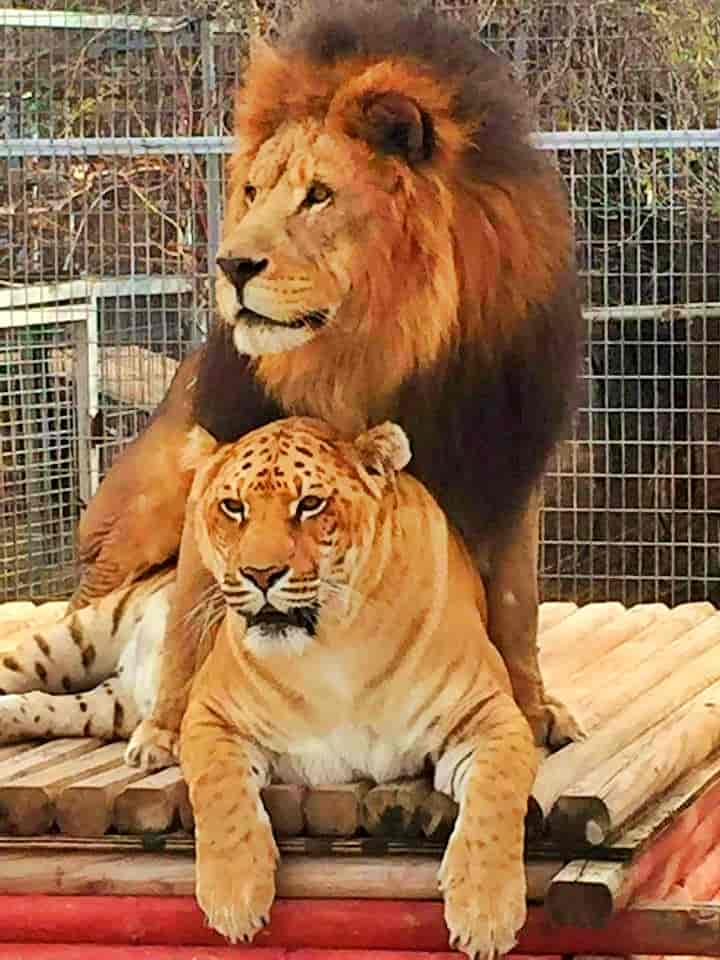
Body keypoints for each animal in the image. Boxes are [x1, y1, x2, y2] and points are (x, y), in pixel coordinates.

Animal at [70, 0, 584, 768]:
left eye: (318, 196)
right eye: (252, 192)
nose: (230, 264)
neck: (377, 349)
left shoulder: (505, 456)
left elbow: (516, 608)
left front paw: (531, 708)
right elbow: (192, 611)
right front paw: (166, 727)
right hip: (140, 508)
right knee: (91, 601)